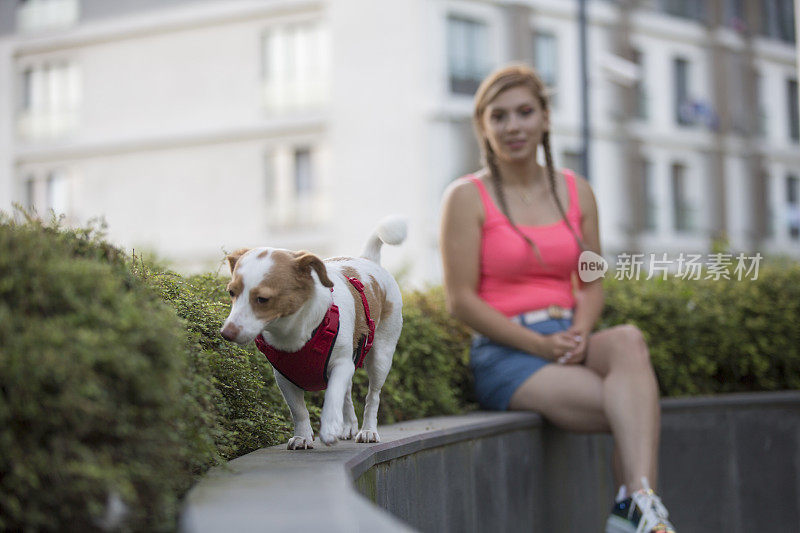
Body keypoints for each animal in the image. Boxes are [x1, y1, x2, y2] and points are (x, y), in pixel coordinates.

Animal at [219, 216, 406, 448]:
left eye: (262, 299)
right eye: (231, 292)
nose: (226, 332)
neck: (292, 331)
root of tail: (367, 259)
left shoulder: (341, 365)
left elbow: (333, 396)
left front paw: (329, 427)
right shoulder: (284, 376)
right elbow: (298, 409)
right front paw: (302, 436)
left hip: (381, 356)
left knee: (373, 396)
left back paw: (368, 430)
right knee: (348, 392)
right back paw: (349, 425)